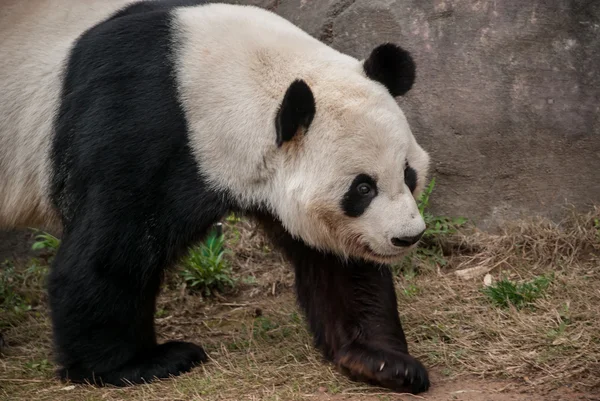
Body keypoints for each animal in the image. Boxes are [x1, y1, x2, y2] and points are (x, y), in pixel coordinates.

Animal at [0, 0, 432, 394]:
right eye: (362, 188)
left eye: (408, 175)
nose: (407, 237)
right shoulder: (135, 122)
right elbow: (109, 253)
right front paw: (131, 365)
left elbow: (336, 262)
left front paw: (383, 361)